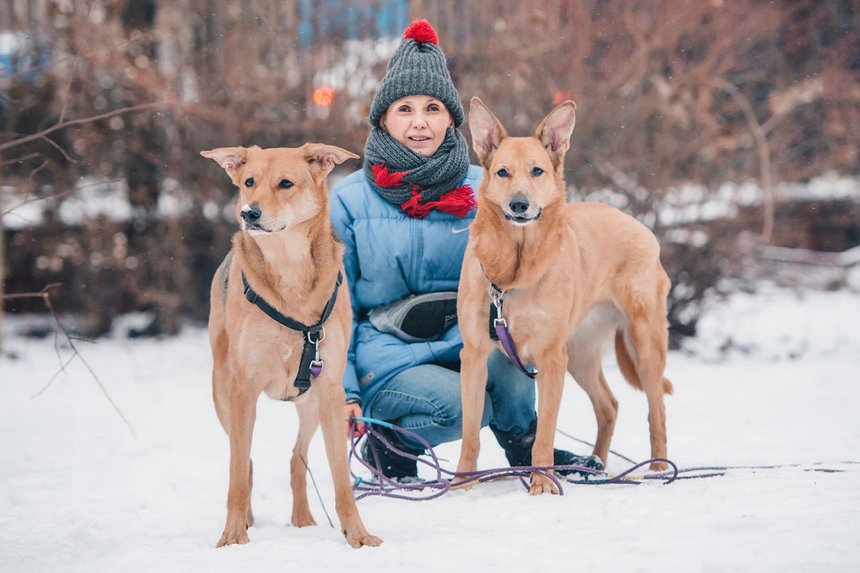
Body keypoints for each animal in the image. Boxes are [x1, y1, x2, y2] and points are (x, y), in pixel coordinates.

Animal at [202, 143, 380, 544]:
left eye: (286, 183)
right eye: (249, 182)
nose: (248, 213)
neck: (288, 266)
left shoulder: (330, 390)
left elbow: (341, 479)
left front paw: (358, 535)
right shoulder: (242, 390)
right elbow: (237, 473)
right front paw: (232, 536)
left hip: (310, 404)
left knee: (297, 457)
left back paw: (302, 518)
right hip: (223, 397)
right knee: (246, 460)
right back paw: (248, 518)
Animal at [454, 98, 676, 492]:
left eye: (537, 171)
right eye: (502, 173)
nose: (519, 205)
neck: (515, 271)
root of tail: (638, 225)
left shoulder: (550, 358)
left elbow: (544, 433)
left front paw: (542, 483)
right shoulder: (475, 356)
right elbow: (470, 435)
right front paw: (460, 485)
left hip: (643, 345)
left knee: (656, 410)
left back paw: (658, 470)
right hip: (581, 355)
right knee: (609, 405)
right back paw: (596, 467)